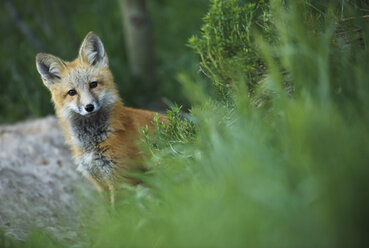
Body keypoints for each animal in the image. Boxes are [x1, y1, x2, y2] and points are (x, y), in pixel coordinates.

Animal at [35, 31, 164, 205]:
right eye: (72, 92)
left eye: (93, 84)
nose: (89, 107)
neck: (92, 144)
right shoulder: (99, 182)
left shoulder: (120, 179)